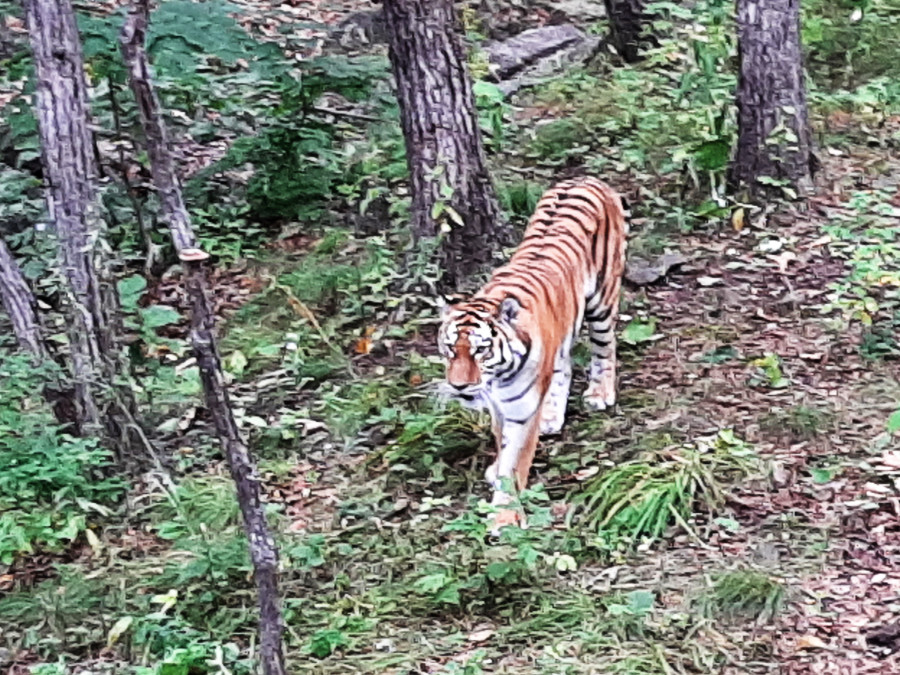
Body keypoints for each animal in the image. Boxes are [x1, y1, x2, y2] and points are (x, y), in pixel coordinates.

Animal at [436, 176, 624, 532]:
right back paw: (552, 415)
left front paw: (505, 516)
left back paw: (600, 393)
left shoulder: (522, 410)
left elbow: (516, 461)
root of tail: (585, 177)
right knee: (564, 364)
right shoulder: (497, 405)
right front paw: (496, 470)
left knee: (605, 347)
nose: (459, 386)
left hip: (602, 299)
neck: (497, 379)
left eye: (481, 350)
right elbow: (501, 443)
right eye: (451, 349)